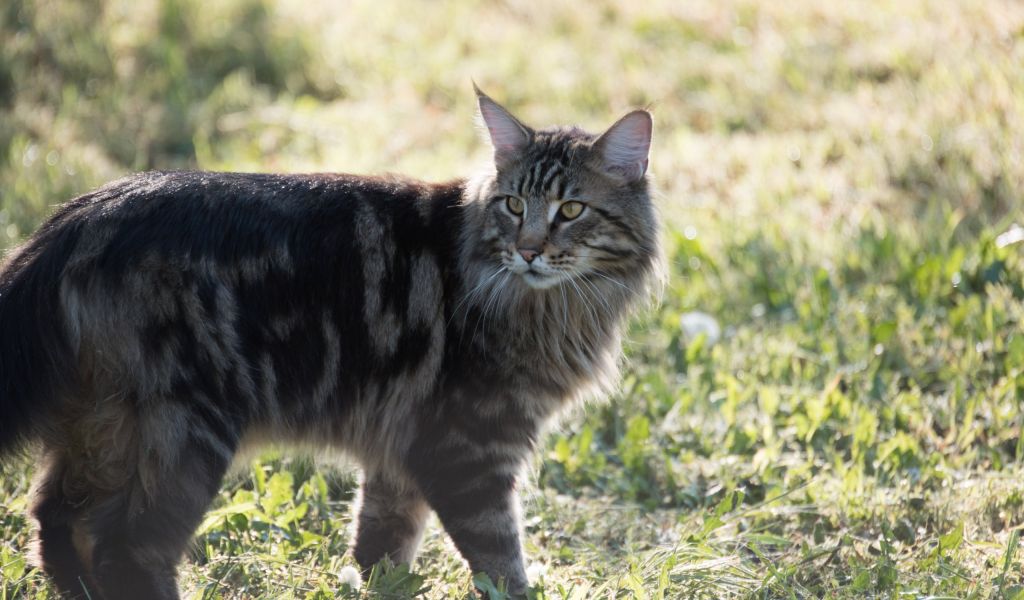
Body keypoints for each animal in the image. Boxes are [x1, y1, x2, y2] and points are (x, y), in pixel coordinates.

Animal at [0, 85, 655, 597]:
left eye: (571, 210)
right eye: (515, 205)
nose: (529, 250)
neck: (548, 305)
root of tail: (77, 219)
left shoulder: (401, 449)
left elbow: (382, 547)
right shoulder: (470, 446)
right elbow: (499, 558)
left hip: (105, 431)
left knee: (56, 523)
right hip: (184, 433)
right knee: (127, 549)